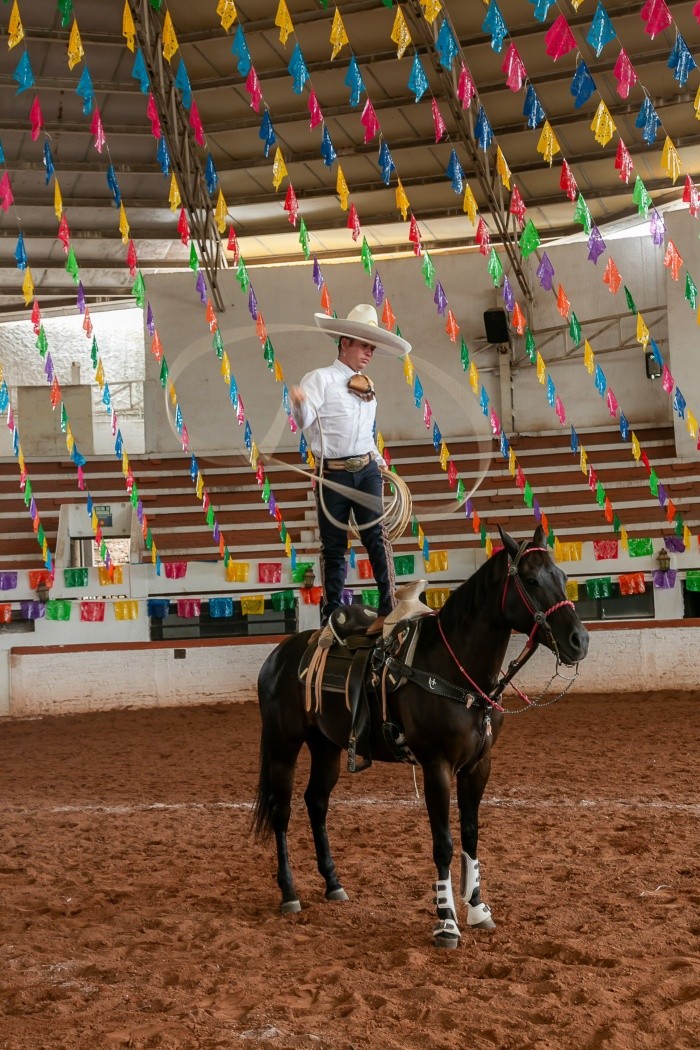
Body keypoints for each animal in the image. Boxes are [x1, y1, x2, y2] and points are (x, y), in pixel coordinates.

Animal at [252, 524, 589, 948]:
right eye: (530, 580)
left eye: (560, 576)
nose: (579, 640)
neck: (453, 670)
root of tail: (278, 656)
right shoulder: (436, 767)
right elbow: (443, 843)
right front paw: (446, 922)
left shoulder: (478, 766)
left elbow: (470, 835)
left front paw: (478, 909)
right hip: (283, 745)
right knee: (281, 812)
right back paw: (289, 892)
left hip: (326, 747)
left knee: (316, 802)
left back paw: (333, 883)